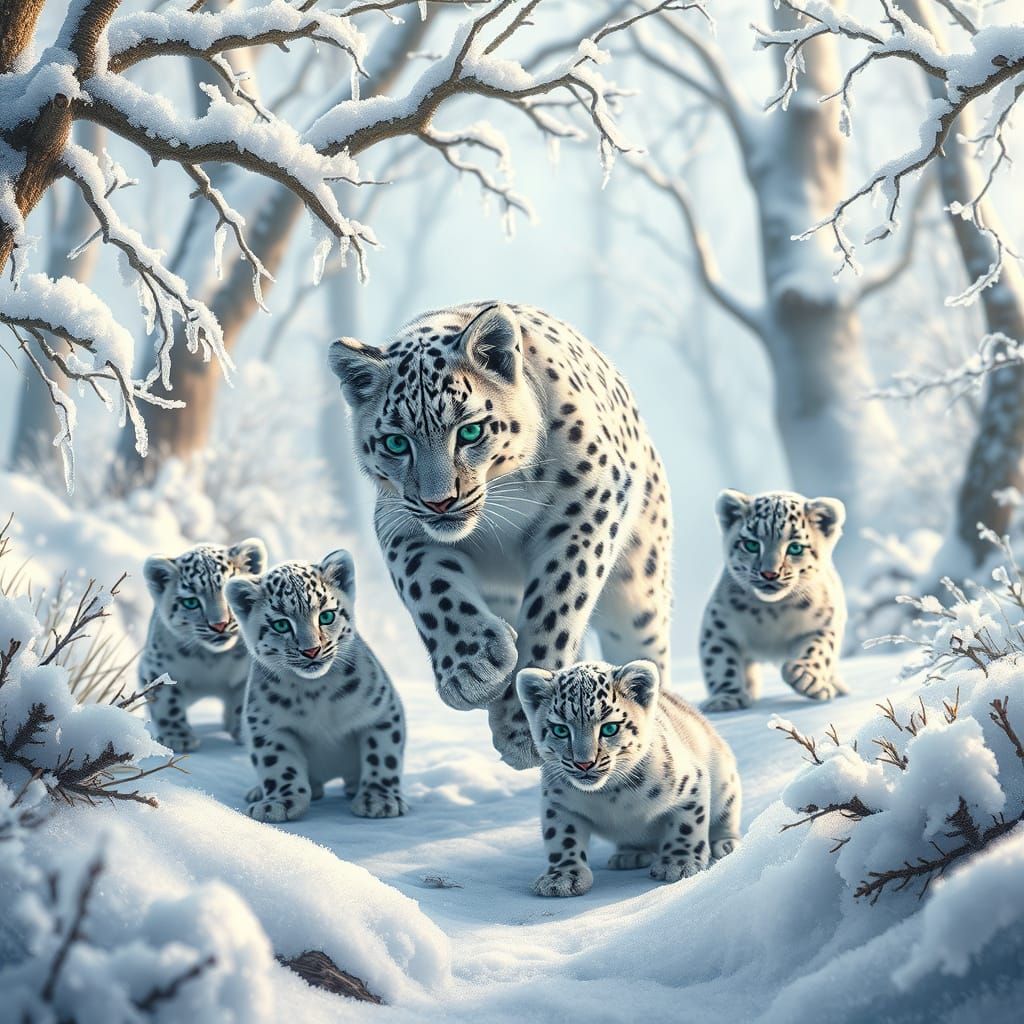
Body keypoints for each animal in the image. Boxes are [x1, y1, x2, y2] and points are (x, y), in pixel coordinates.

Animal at [140, 538, 267, 752]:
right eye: (191, 602)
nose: (219, 624)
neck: (212, 660)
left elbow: (243, 700)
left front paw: (243, 732)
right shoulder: (156, 668)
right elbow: (167, 702)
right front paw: (178, 737)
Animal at [225, 549, 407, 823]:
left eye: (326, 615)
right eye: (281, 624)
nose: (311, 650)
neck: (315, 693)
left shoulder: (383, 711)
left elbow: (382, 756)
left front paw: (379, 800)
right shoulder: (268, 726)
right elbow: (278, 765)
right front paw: (279, 803)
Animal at [328, 301, 672, 770]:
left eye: (470, 431)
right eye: (396, 442)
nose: (440, 502)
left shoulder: (588, 507)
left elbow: (555, 605)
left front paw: (521, 727)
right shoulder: (400, 522)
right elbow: (430, 591)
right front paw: (471, 669)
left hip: (639, 599)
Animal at [517, 658, 741, 897]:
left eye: (609, 728)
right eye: (560, 730)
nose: (584, 763)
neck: (609, 796)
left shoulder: (691, 784)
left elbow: (686, 827)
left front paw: (678, 864)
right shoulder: (558, 804)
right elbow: (561, 838)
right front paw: (562, 878)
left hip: (725, 784)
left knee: (725, 817)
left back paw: (725, 844)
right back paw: (629, 856)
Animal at [699, 489, 848, 713]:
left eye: (795, 548)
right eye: (751, 544)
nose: (769, 574)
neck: (771, 613)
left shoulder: (823, 623)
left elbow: (818, 649)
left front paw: (804, 677)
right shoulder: (718, 627)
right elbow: (719, 661)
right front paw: (726, 697)